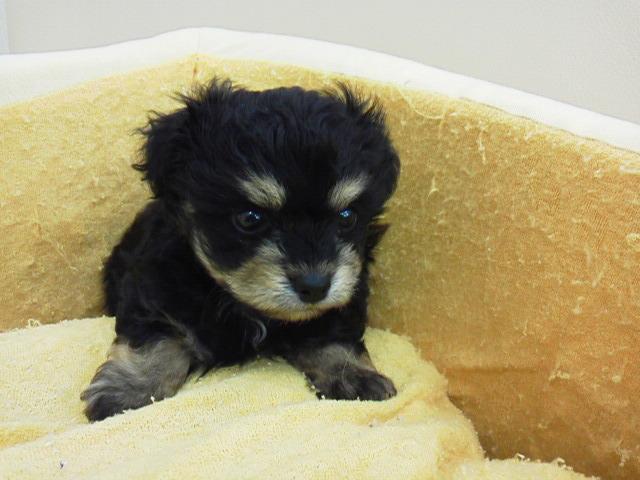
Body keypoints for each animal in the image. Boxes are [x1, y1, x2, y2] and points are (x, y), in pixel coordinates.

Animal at [81, 79, 400, 421]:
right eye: (250, 218)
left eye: (347, 217)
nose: (314, 286)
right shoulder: (152, 288)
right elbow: (153, 339)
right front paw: (129, 388)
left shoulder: (348, 291)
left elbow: (335, 334)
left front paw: (354, 374)